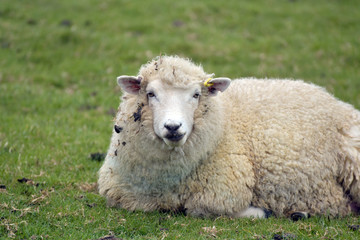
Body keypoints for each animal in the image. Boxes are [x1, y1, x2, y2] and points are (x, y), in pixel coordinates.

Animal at [97, 55, 360, 218]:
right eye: (151, 94)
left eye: (196, 95)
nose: (173, 127)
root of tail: (336, 101)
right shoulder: (125, 197)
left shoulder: (224, 191)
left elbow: (201, 208)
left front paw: (260, 212)